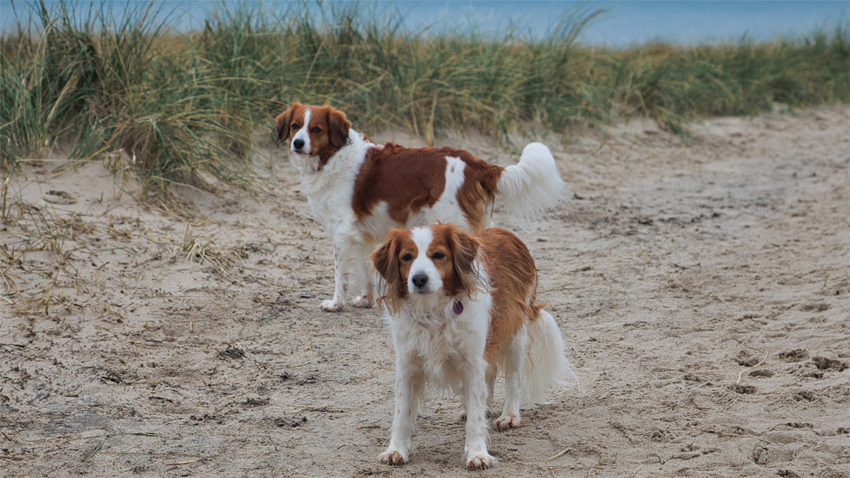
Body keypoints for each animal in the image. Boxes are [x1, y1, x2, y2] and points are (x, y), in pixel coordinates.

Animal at [370, 225, 568, 470]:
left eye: (439, 255)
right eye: (407, 257)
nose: (418, 279)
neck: (433, 311)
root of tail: (504, 231)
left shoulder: (472, 361)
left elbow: (476, 417)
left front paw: (477, 453)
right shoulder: (408, 364)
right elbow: (401, 412)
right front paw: (396, 450)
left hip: (515, 333)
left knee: (513, 378)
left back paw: (509, 415)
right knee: (489, 377)